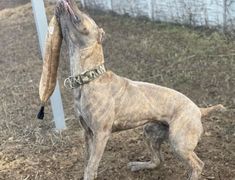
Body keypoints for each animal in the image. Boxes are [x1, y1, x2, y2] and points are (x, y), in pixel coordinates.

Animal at [55, 0, 226, 179]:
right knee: (158, 160)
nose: (70, 1)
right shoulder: (87, 133)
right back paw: (138, 165)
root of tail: (199, 110)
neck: (90, 78)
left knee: (197, 164)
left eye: (84, 13)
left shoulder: (101, 134)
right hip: (150, 131)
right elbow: (87, 162)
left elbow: (91, 166)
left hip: (179, 143)